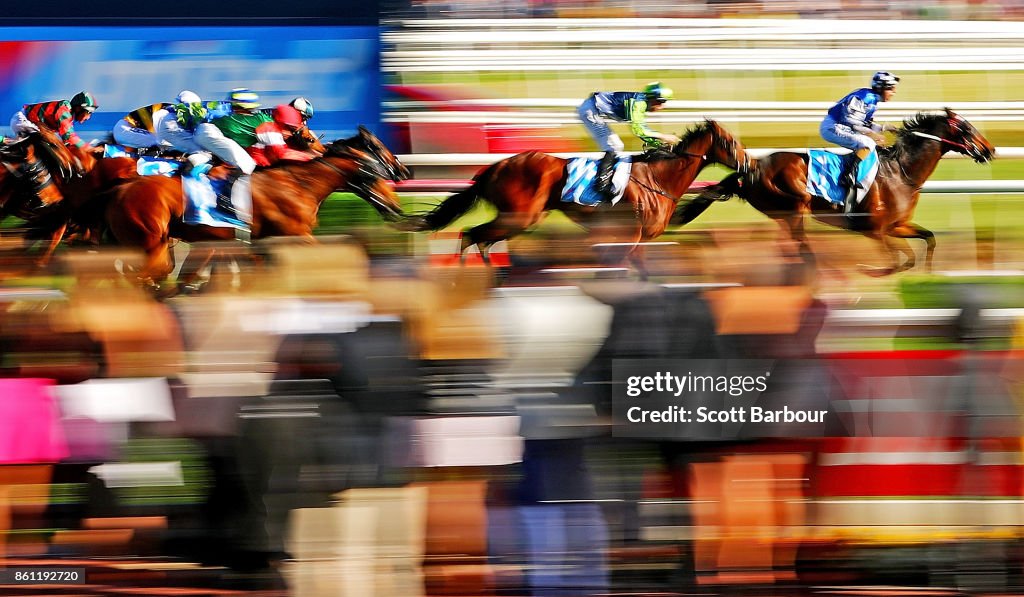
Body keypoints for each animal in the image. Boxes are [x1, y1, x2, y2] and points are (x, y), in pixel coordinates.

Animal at [96, 140, 399, 288]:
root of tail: (119, 189)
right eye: (376, 173)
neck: (298, 184)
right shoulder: (297, 235)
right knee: (145, 275)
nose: (396, 206)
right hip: (151, 240)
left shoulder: (260, 244)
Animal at [403, 120, 749, 270]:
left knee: (483, 240)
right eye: (731, 143)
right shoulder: (629, 235)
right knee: (471, 234)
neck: (657, 177)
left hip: (522, 218)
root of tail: (494, 166)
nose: (747, 164)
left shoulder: (632, 238)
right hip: (519, 216)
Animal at [675, 109, 995, 276]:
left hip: (784, 212)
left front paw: (928, 273)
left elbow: (927, 240)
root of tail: (750, 167)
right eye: (966, 128)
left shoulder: (897, 226)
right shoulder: (875, 230)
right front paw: (869, 270)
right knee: (798, 245)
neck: (902, 172)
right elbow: (899, 260)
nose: (990, 149)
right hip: (795, 205)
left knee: (790, 246)